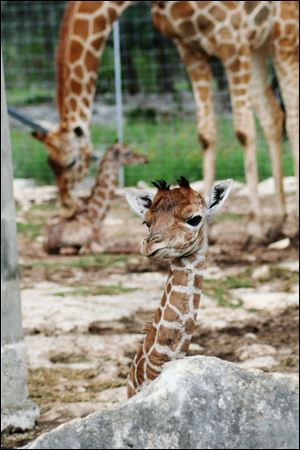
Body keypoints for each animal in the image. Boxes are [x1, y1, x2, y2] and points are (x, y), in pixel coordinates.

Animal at [34, 0, 298, 227]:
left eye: (72, 162)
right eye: (50, 163)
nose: (66, 207)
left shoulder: (233, 42)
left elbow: (243, 131)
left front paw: (254, 227)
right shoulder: (191, 49)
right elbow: (206, 134)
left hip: (284, 36)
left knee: (291, 118)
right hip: (262, 44)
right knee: (273, 116)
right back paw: (278, 222)